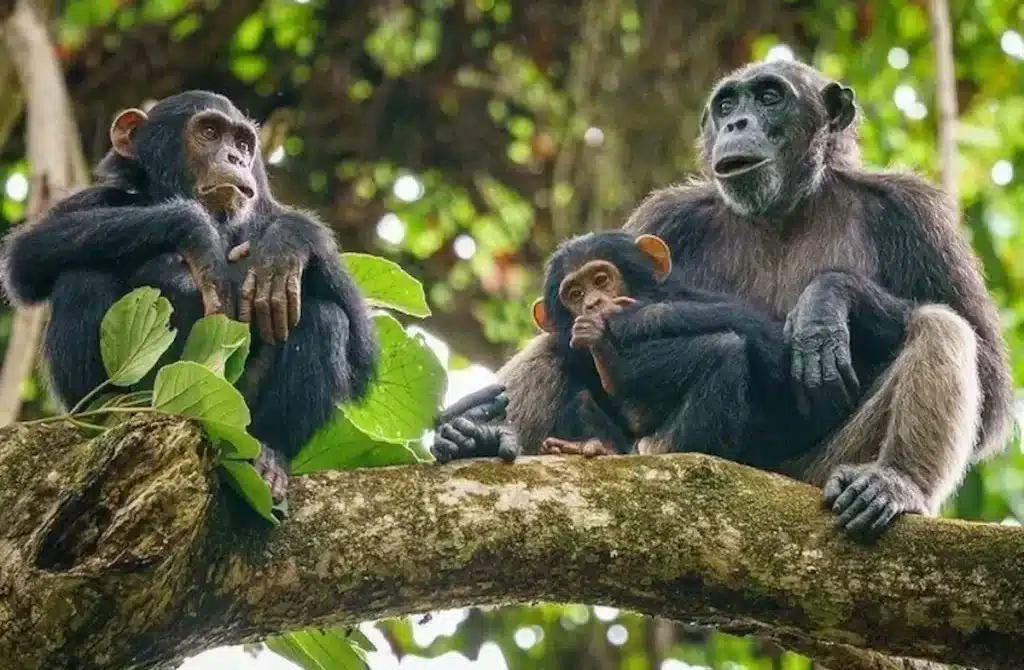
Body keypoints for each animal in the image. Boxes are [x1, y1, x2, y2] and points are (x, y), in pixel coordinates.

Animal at [1, 91, 379, 513]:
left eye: (243, 144)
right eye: (210, 132)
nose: (234, 158)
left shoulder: (267, 212)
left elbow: (361, 346)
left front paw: (287, 242)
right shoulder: (94, 200)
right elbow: (27, 254)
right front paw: (193, 230)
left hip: (234, 420)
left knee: (326, 317)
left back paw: (269, 458)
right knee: (80, 277)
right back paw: (107, 414)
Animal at [432, 60, 1013, 539]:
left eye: (770, 97)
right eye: (728, 104)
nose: (737, 124)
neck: (784, 208)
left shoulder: (914, 210)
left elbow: (989, 375)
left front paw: (825, 302)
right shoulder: (665, 216)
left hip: (818, 472)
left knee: (941, 326)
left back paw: (892, 482)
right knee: (555, 352)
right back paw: (476, 437)